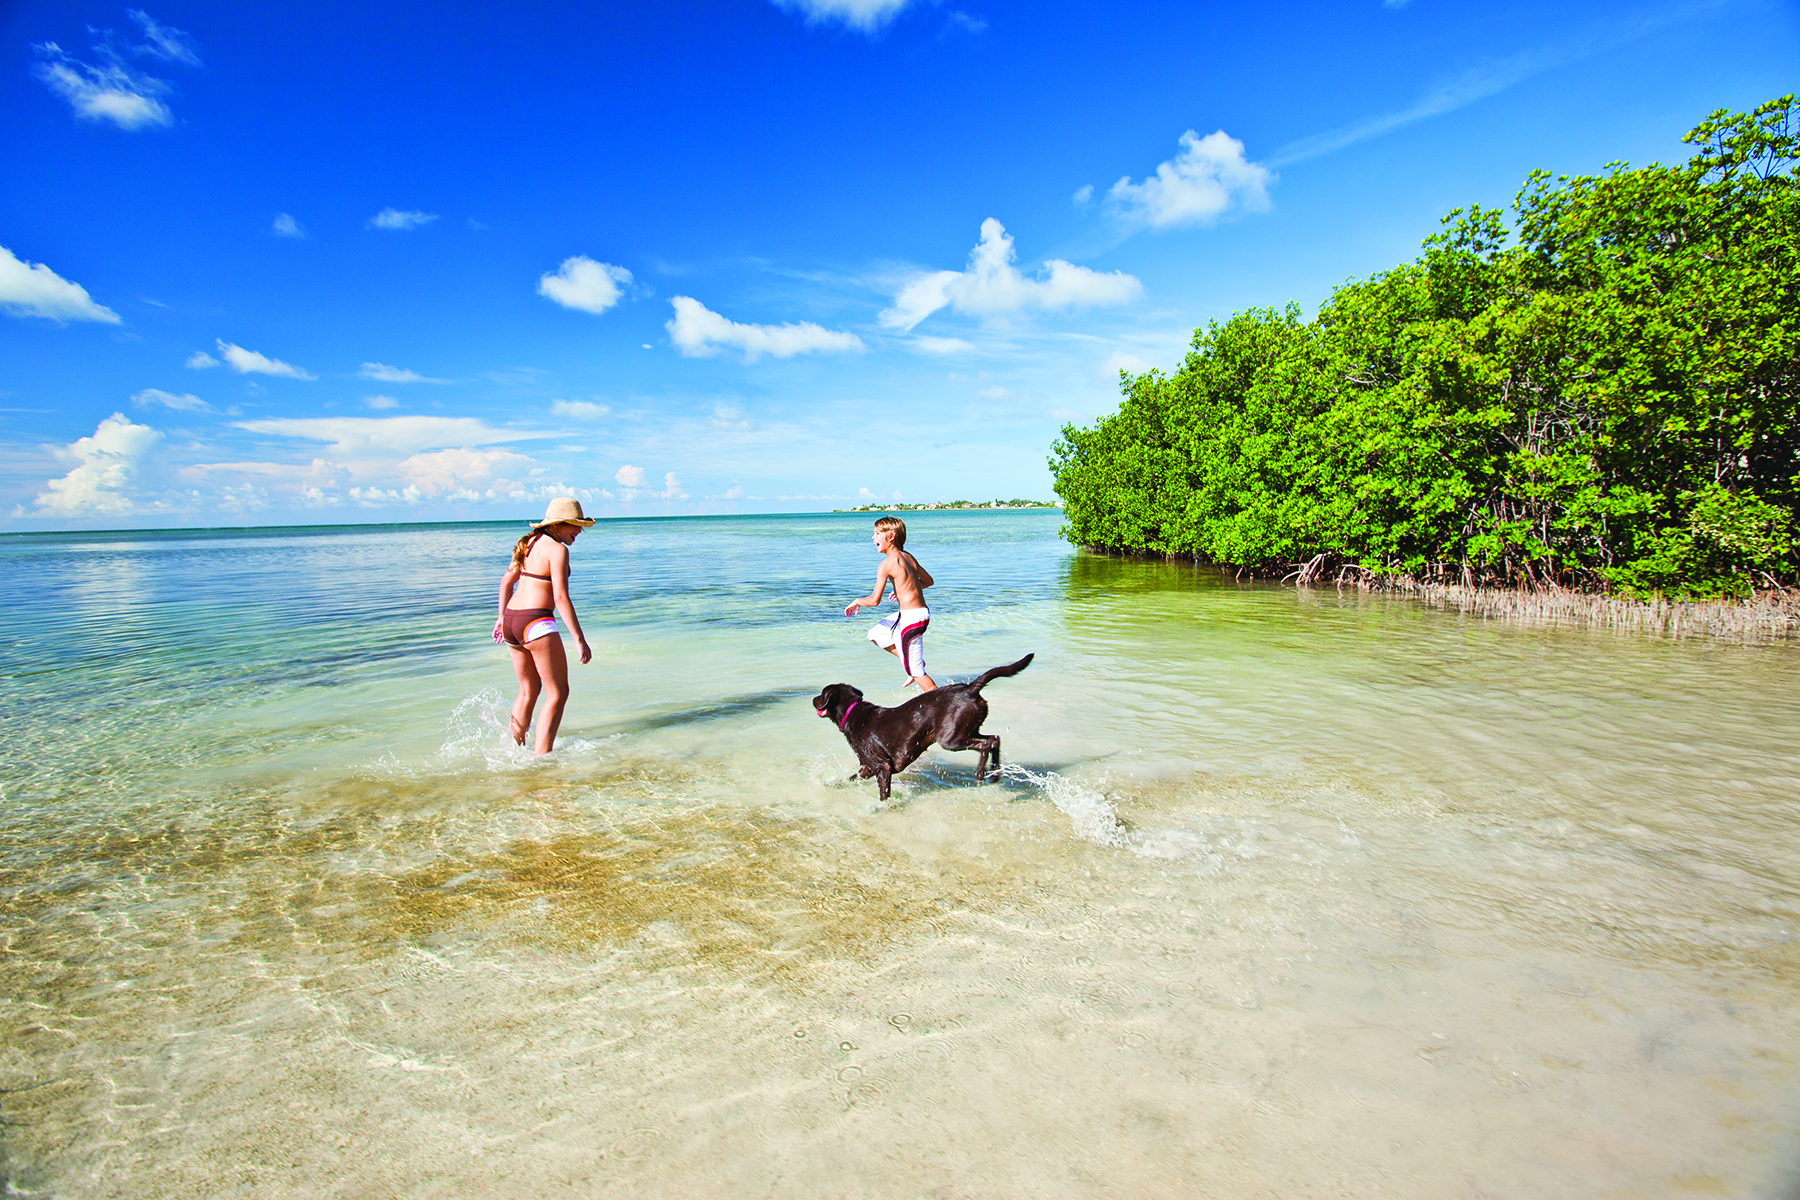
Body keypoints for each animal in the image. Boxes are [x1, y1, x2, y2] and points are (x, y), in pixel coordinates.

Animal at [813, 651, 1036, 802]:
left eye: (822, 694)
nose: (813, 700)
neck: (852, 712)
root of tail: (971, 688)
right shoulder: (867, 767)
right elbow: (851, 778)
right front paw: (834, 783)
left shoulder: (882, 768)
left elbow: (883, 794)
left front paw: (881, 807)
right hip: (968, 728)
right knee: (994, 738)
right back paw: (995, 773)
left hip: (951, 739)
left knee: (985, 744)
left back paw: (981, 774)